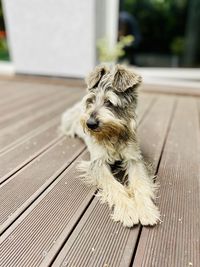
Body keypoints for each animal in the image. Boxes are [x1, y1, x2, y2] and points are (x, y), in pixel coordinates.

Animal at [60, 65, 160, 228]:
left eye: (109, 102)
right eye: (91, 100)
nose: (90, 123)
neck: (112, 134)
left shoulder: (134, 159)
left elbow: (139, 183)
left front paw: (145, 209)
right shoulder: (98, 163)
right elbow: (114, 185)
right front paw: (127, 210)